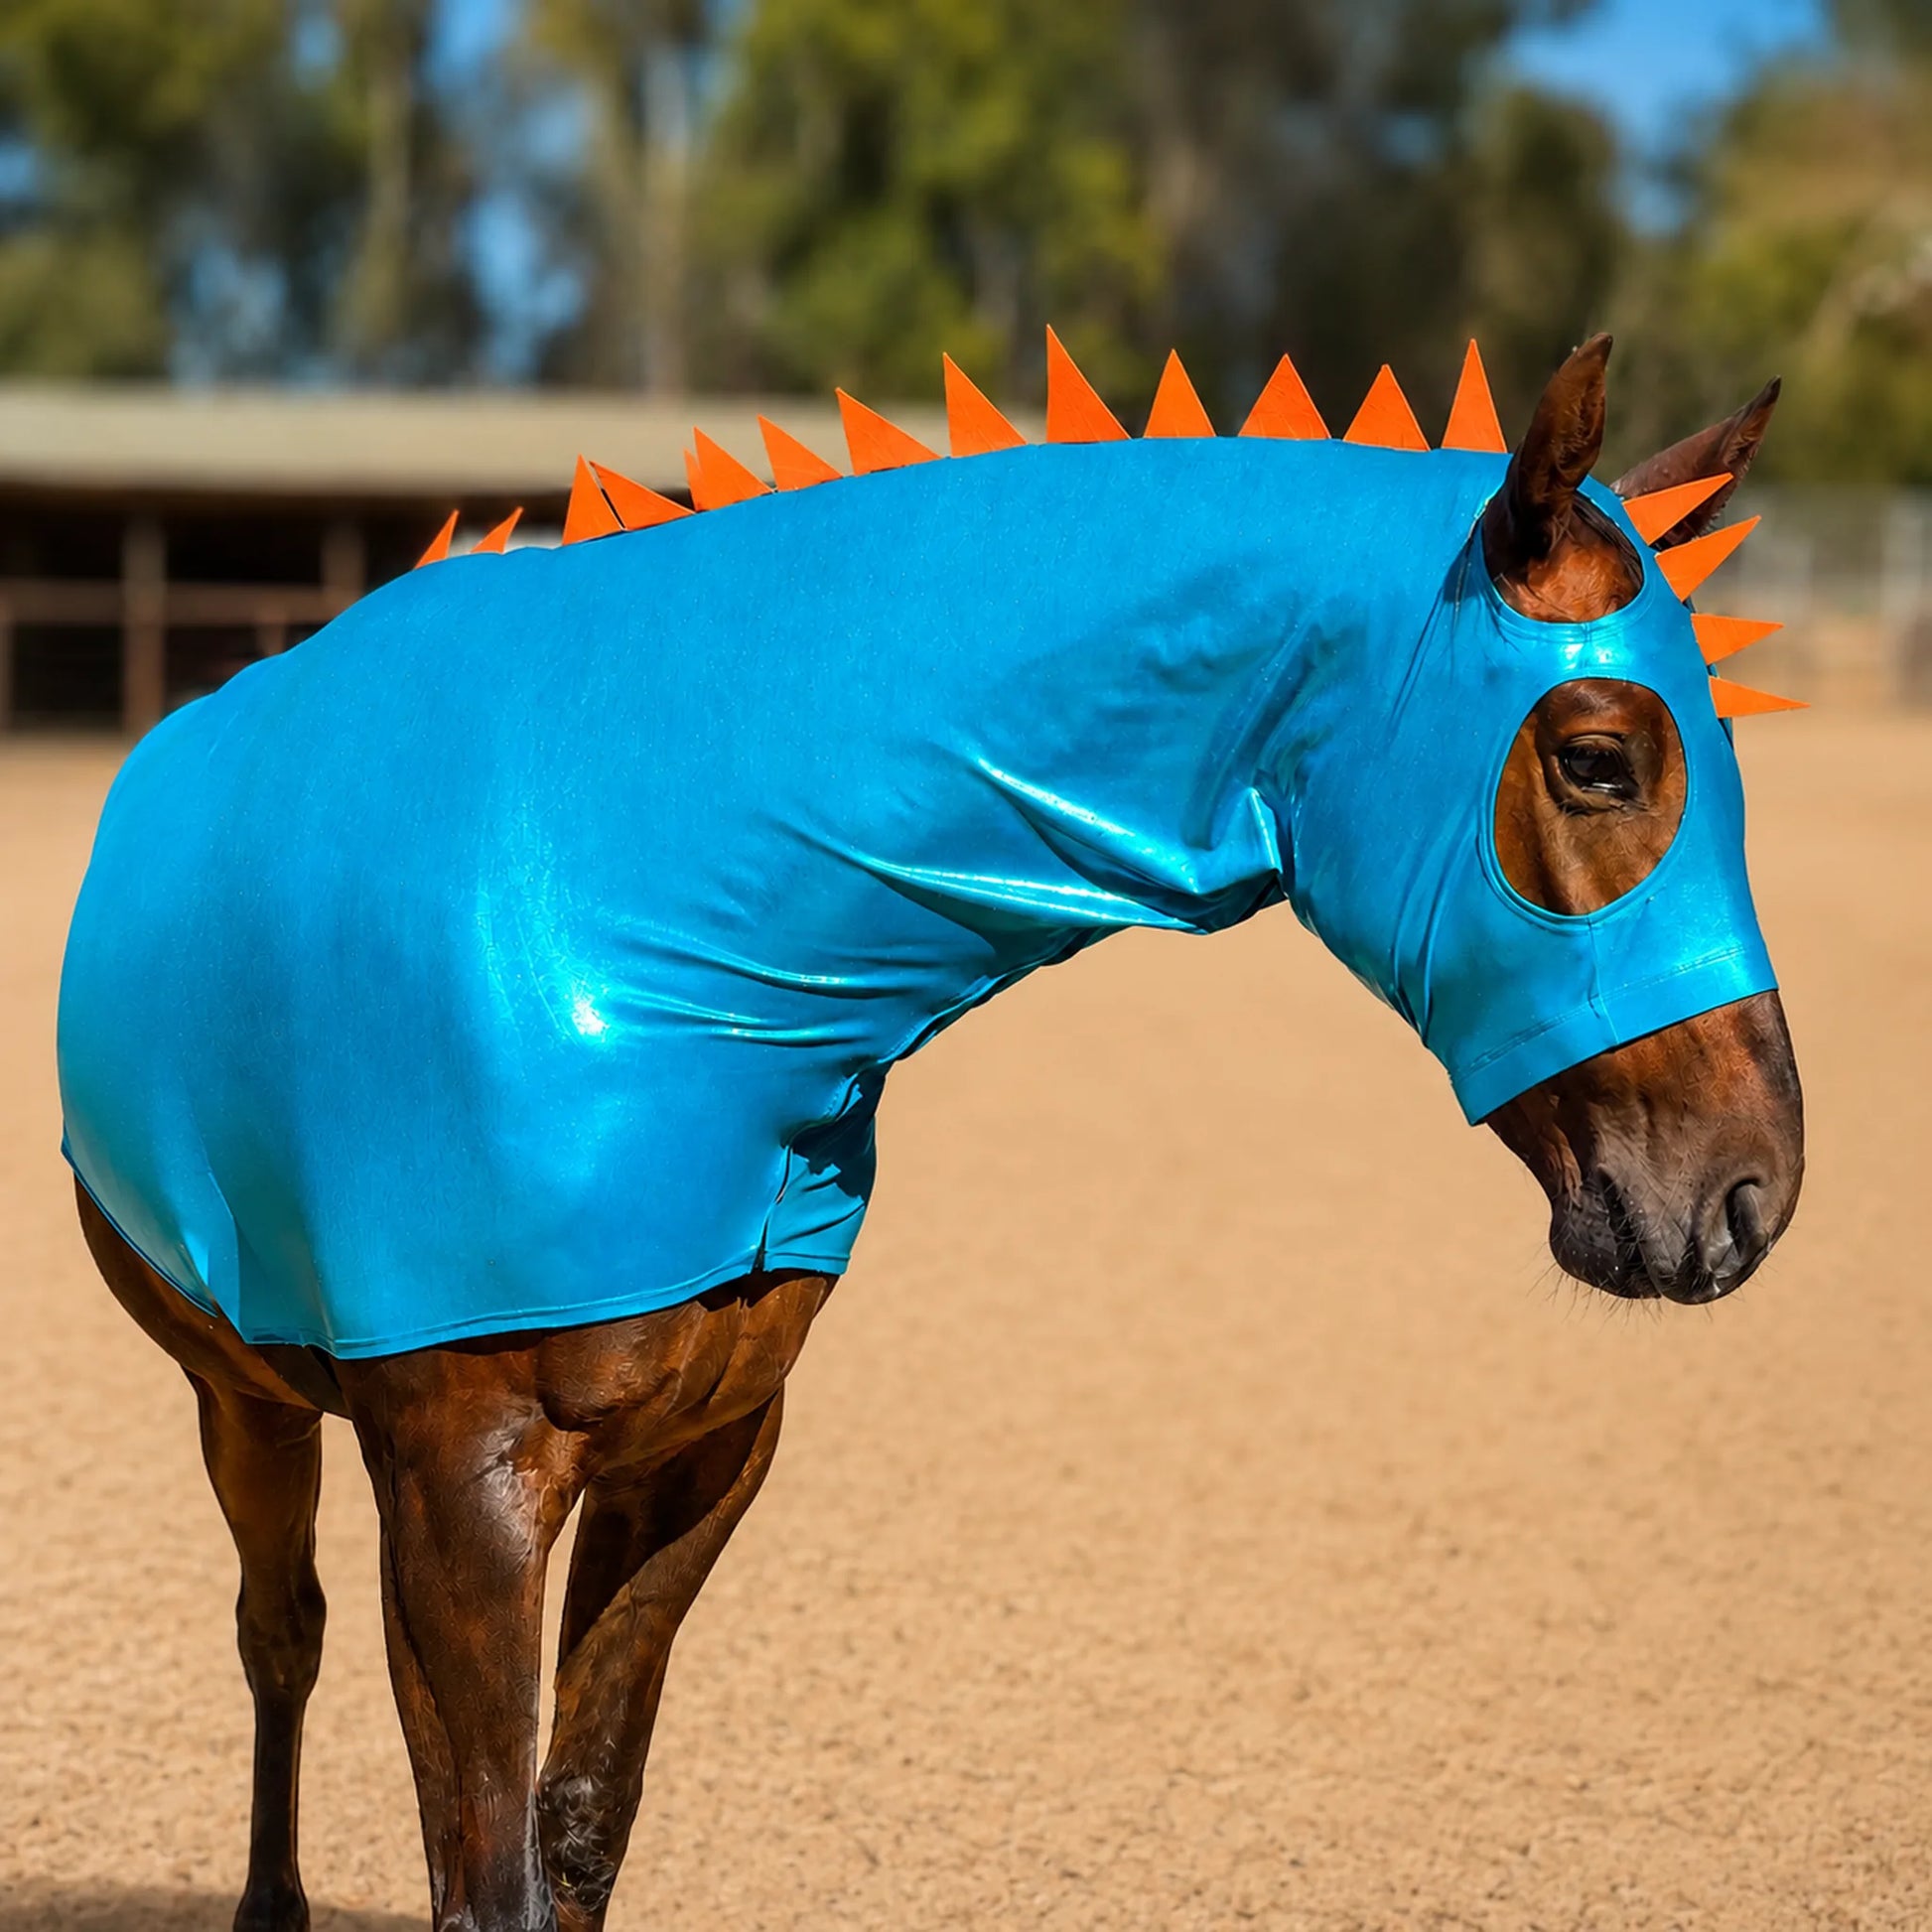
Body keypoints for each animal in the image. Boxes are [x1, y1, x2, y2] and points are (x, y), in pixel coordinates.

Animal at [60, 333, 1803, 1932]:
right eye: (1597, 756)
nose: (1750, 1192)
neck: (641, 897)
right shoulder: (461, 1483)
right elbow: (480, 1867)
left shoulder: (699, 1457)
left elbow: (580, 1819)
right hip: (241, 1394)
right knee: (278, 1635)